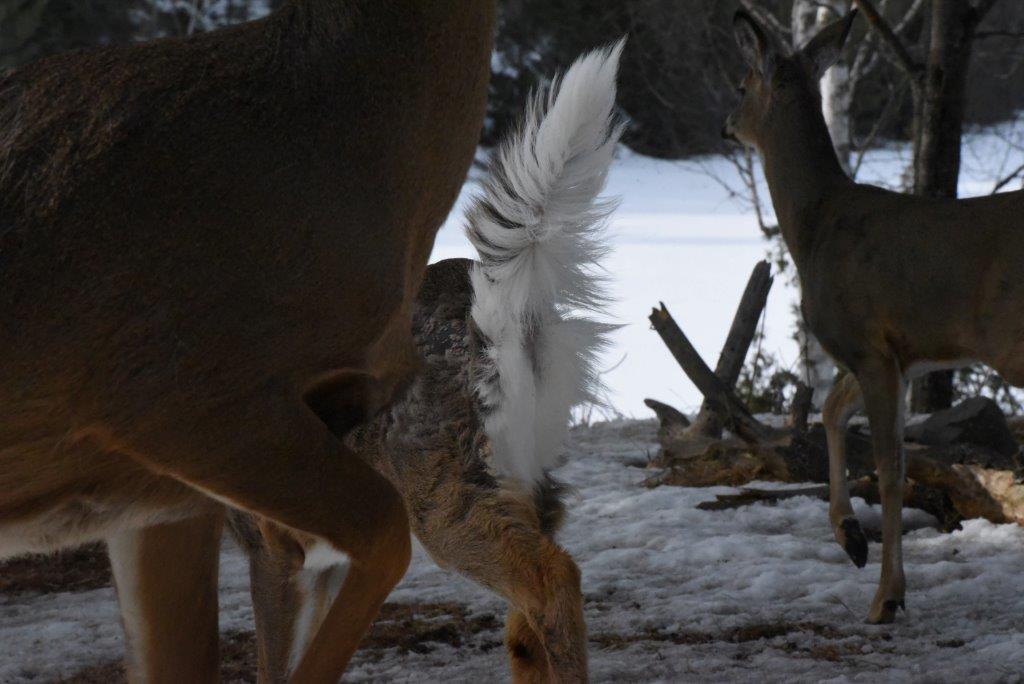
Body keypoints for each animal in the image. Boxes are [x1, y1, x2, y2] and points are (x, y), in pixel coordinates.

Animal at [227, 43, 624, 683]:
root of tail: (502, 316)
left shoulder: (272, 545)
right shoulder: (333, 559)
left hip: (440, 490)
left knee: (552, 579)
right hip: (531, 476)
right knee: (525, 625)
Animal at [725, 9, 1024, 624]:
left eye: (741, 85)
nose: (724, 125)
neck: (814, 225)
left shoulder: (868, 344)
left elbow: (890, 468)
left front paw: (888, 596)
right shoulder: (895, 354)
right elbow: (831, 411)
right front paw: (850, 538)